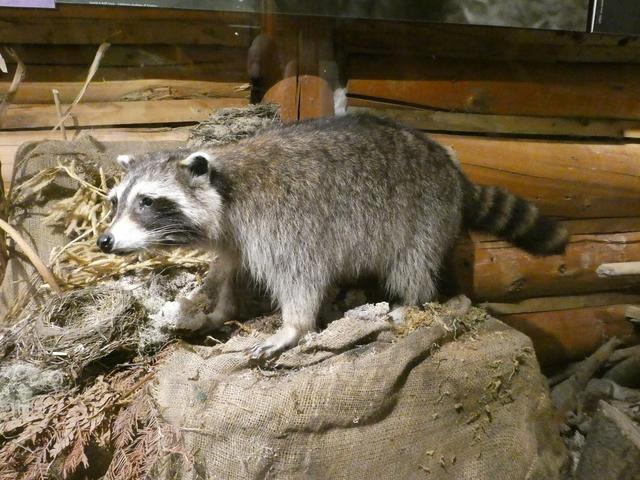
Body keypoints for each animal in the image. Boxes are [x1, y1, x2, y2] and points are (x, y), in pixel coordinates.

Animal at [99, 114, 564, 358]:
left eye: (147, 202)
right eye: (115, 201)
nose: (105, 240)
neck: (227, 186)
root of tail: (451, 168)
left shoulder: (284, 222)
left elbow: (302, 277)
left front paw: (294, 326)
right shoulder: (237, 236)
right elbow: (233, 269)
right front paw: (221, 307)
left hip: (424, 213)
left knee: (412, 263)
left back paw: (411, 302)